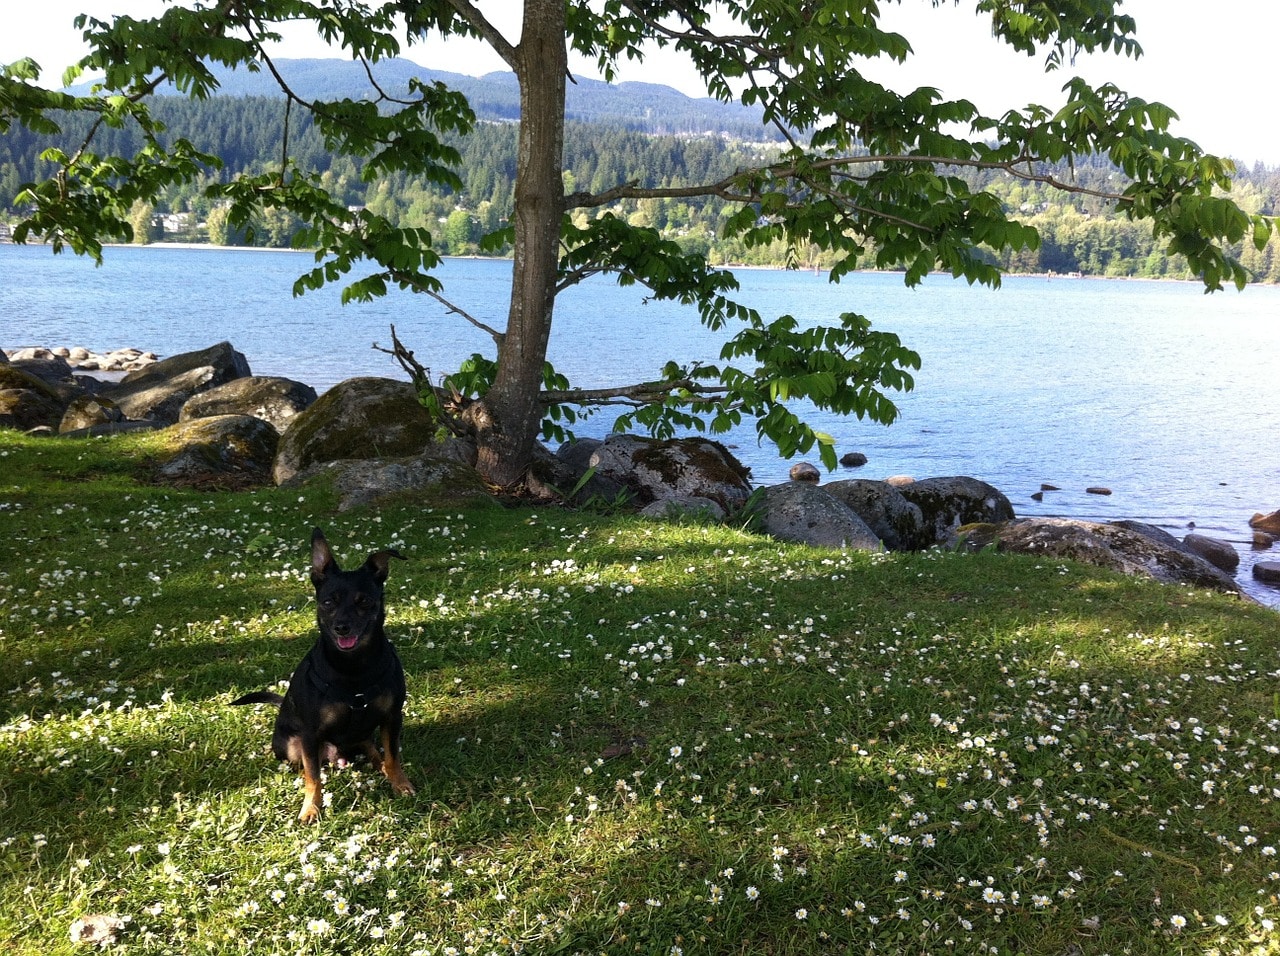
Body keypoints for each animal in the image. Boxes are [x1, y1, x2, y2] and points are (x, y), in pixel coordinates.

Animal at [230, 529, 409, 824]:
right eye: (327, 602)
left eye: (364, 601)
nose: (341, 627)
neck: (353, 667)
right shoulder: (311, 734)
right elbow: (312, 777)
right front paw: (311, 808)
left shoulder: (392, 717)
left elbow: (393, 756)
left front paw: (400, 783)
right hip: (293, 746)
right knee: (307, 765)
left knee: (370, 746)